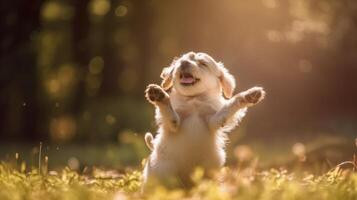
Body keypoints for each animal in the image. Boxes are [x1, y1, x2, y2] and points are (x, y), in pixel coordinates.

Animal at [143, 52, 264, 189]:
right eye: (182, 60)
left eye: (203, 64)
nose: (183, 63)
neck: (194, 100)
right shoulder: (173, 124)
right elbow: (168, 110)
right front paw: (159, 95)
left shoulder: (214, 120)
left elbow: (230, 105)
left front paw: (249, 95)